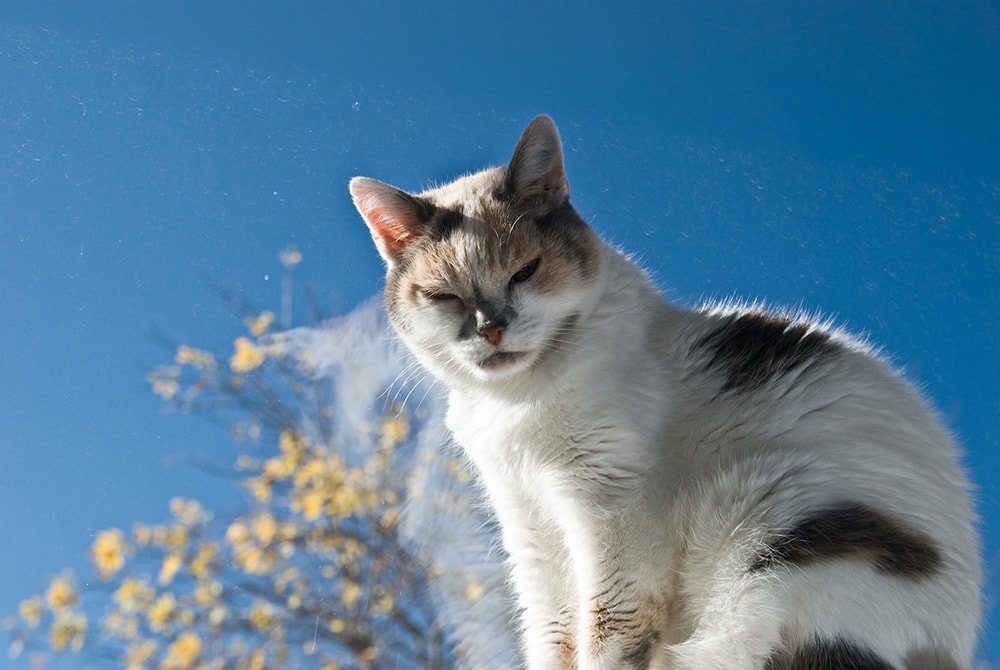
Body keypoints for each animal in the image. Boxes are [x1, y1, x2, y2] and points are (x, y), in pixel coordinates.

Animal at [348, 117, 980, 670]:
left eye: (525, 271)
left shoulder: (615, 515)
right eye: (444, 296)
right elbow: (553, 637)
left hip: (773, 529)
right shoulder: (531, 531)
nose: (492, 327)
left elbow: (607, 632)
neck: (518, 404)